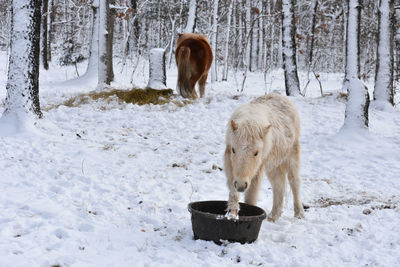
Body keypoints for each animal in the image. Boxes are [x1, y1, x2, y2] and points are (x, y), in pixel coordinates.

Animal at [223, 94, 304, 222]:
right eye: (233, 150)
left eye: (256, 153)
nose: (241, 185)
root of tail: (281, 97)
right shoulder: (229, 162)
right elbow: (233, 191)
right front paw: (232, 214)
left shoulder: (258, 169)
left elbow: (250, 197)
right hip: (273, 165)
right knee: (278, 184)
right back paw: (273, 216)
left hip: (292, 155)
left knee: (294, 182)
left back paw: (299, 214)